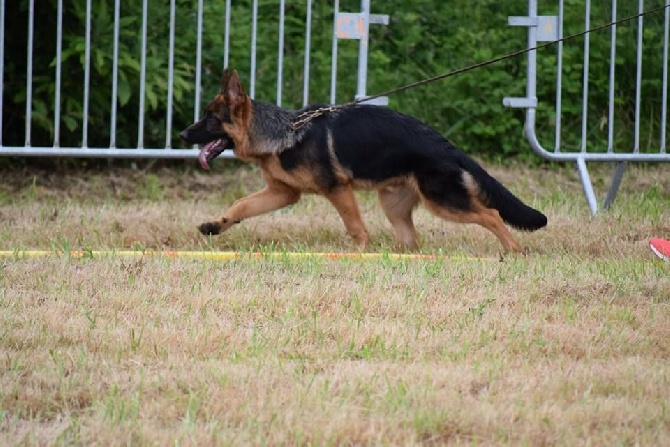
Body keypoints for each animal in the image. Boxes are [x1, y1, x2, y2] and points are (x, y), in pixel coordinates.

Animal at [181, 68, 548, 254]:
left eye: (210, 118)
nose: (183, 135)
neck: (284, 132)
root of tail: (447, 146)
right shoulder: (283, 194)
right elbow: (242, 205)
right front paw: (216, 225)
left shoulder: (337, 190)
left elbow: (355, 226)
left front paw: (359, 253)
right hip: (394, 205)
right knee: (411, 241)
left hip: (444, 201)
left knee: (491, 214)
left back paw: (513, 250)